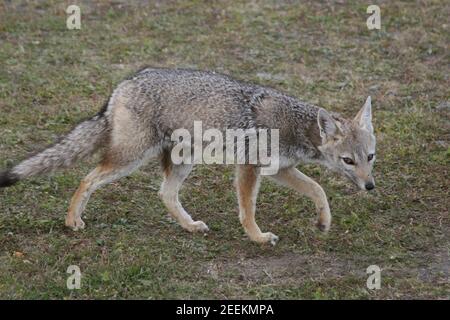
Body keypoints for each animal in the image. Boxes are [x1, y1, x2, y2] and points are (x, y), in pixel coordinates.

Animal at [0, 67, 376, 245]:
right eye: (348, 161)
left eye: (370, 157)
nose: (370, 186)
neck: (294, 124)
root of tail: (122, 85)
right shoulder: (250, 167)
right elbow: (247, 210)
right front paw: (257, 237)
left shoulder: (279, 169)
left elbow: (318, 190)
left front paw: (323, 222)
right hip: (129, 159)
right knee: (87, 178)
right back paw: (72, 220)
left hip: (183, 160)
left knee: (165, 193)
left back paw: (190, 226)